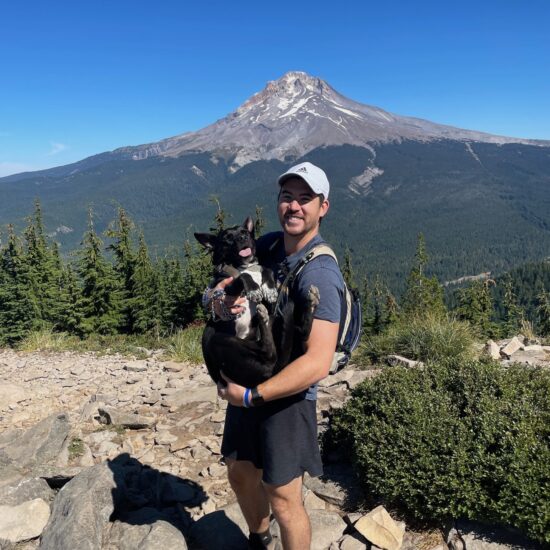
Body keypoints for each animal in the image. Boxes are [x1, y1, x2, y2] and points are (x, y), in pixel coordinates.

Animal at [196, 216, 322, 388]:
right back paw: (265, 318)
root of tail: (272, 373)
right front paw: (254, 287)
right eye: (227, 238)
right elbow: (242, 276)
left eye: (244, 232)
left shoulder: (270, 300)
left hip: (281, 314)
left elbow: (266, 269)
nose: (242, 238)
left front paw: (268, 287)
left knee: (298, 331)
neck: (245, 265)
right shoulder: (226, 288)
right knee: (269, 353)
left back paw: (310, 302)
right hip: (215, 338)